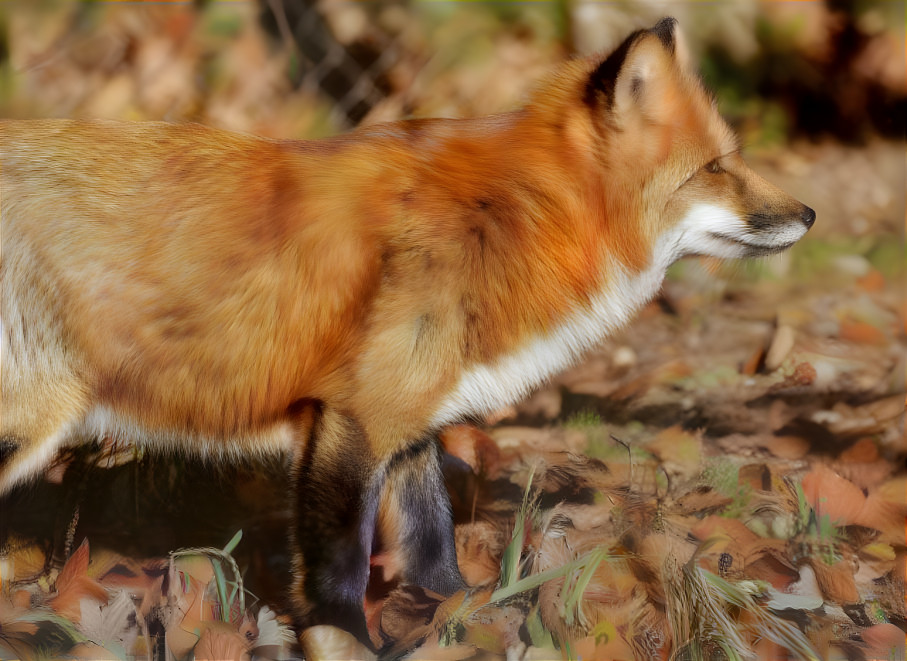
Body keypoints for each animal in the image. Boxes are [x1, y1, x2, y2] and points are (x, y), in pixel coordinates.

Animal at [0, 16, 812, 648]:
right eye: (715, 167)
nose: (808, 214)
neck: (515, 216)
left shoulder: (408, 419)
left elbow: (432, 544)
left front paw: (459, 617)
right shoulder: (351, 419)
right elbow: (339, 565)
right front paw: (344, 639)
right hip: (25, 428)